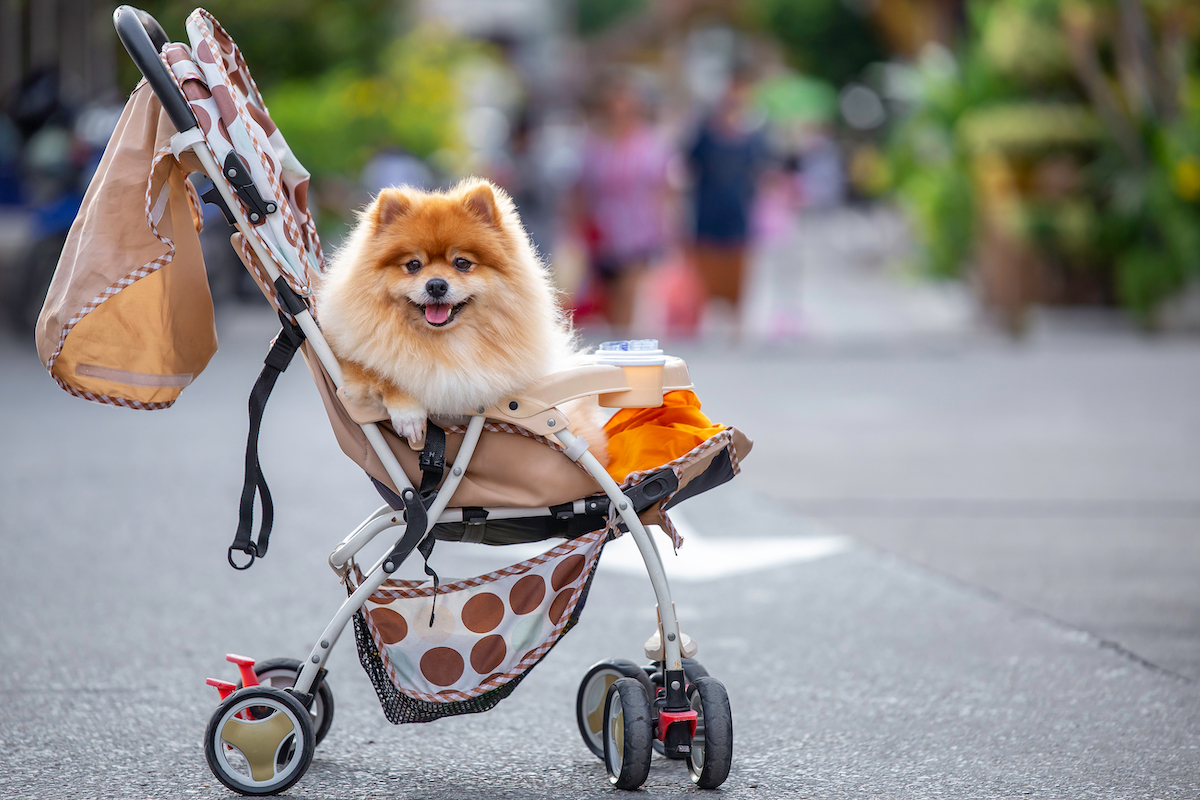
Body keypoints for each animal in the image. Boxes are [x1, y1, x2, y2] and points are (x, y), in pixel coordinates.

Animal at [319, 175, 609, 462]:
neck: (444, 343)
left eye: (461, 263)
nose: (436, 285)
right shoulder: (345, 359)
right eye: (413, 265)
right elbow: (381, 372)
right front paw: (409, 415)